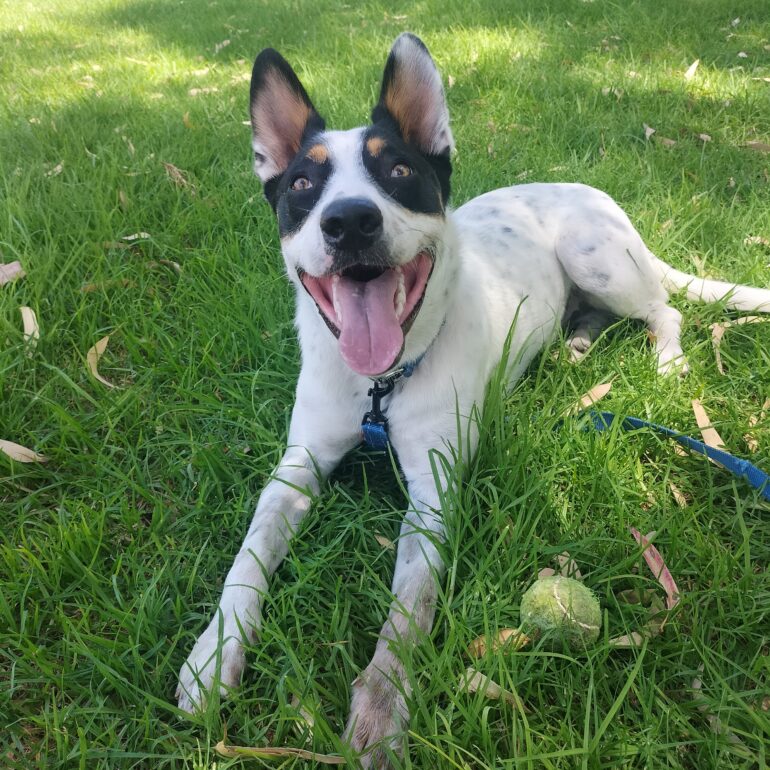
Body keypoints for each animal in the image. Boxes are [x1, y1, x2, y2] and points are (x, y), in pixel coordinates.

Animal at [177, 33, 768, 764]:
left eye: (399, 171)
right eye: (303, 185)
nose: (349, 221)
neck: (382, 386)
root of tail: (595, 194)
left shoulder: (434, 492)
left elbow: (409, 608)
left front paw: (381, 707)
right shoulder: (296, 469)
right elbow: (248, 558)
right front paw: (215, 653)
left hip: (596, 255)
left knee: (664, 309)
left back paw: (667, 360)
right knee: (596, 314)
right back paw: (574, 346)